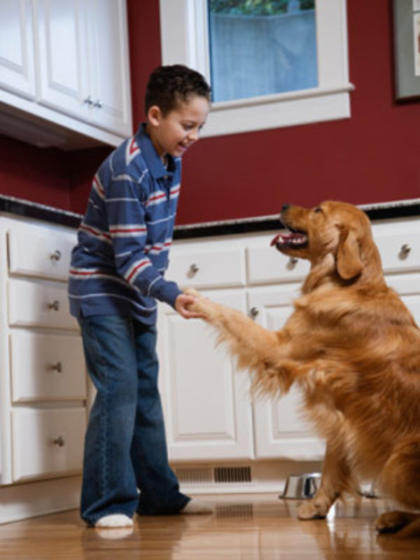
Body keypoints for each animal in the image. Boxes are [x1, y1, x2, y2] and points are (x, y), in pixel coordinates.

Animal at [189, 201, 420, 540]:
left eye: (318, 210)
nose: (283, 205)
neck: (347, 283)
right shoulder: (339, 406)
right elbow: (331, 463)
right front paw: (319, 505)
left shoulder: (280, 347)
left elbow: (232, 314)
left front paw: (194, 298)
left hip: (397, 463)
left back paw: (392, 518)